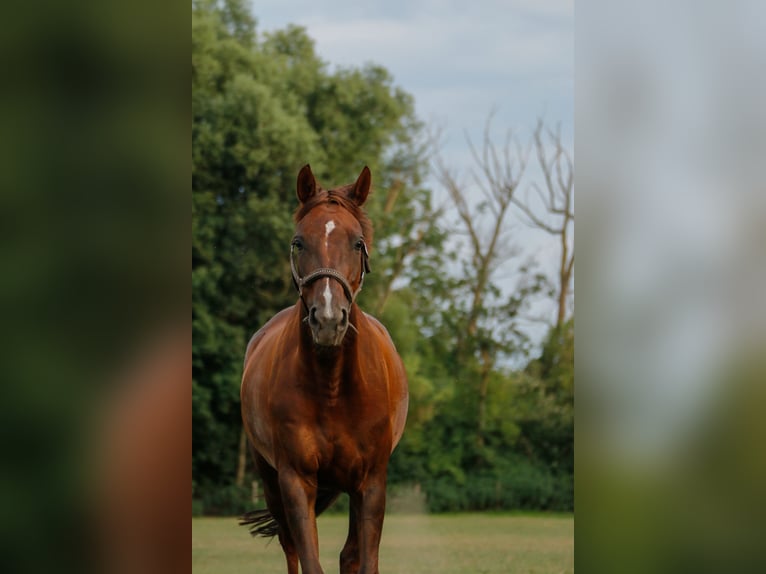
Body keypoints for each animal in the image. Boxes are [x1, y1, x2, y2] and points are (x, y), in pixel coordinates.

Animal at [240, 165, 412, 574]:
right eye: (298, 242)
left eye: (357, 243)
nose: (329, 320)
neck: (332, 386)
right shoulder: (296, 480)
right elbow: (308, 558)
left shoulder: (371, 483)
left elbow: (364, 560)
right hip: (271, 481)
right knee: (290, 547)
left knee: (348, 554)